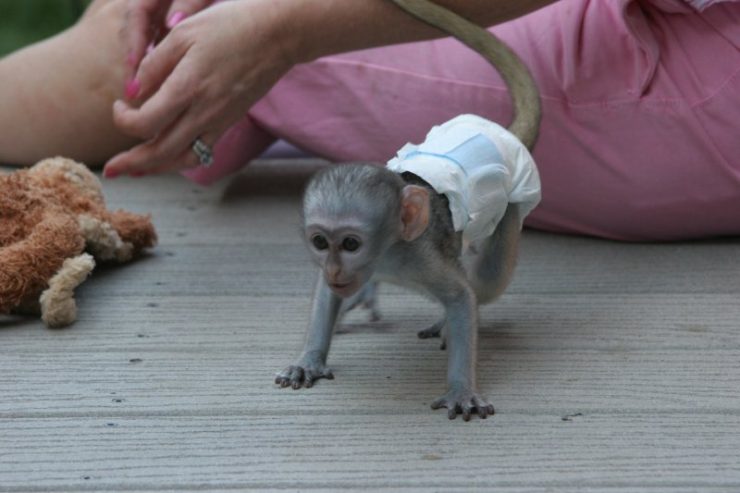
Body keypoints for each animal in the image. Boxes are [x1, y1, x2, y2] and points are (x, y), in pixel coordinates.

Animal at [274, 0, 540, 418]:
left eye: (350, 244)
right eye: (320, 242)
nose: (334, 268)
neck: (386, 255)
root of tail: (499, 134)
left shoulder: (421, 257)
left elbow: (463, 298)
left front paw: (461, 389)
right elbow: (326, 293)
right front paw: (309, 359)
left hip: (512, 204)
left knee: (490, 277)